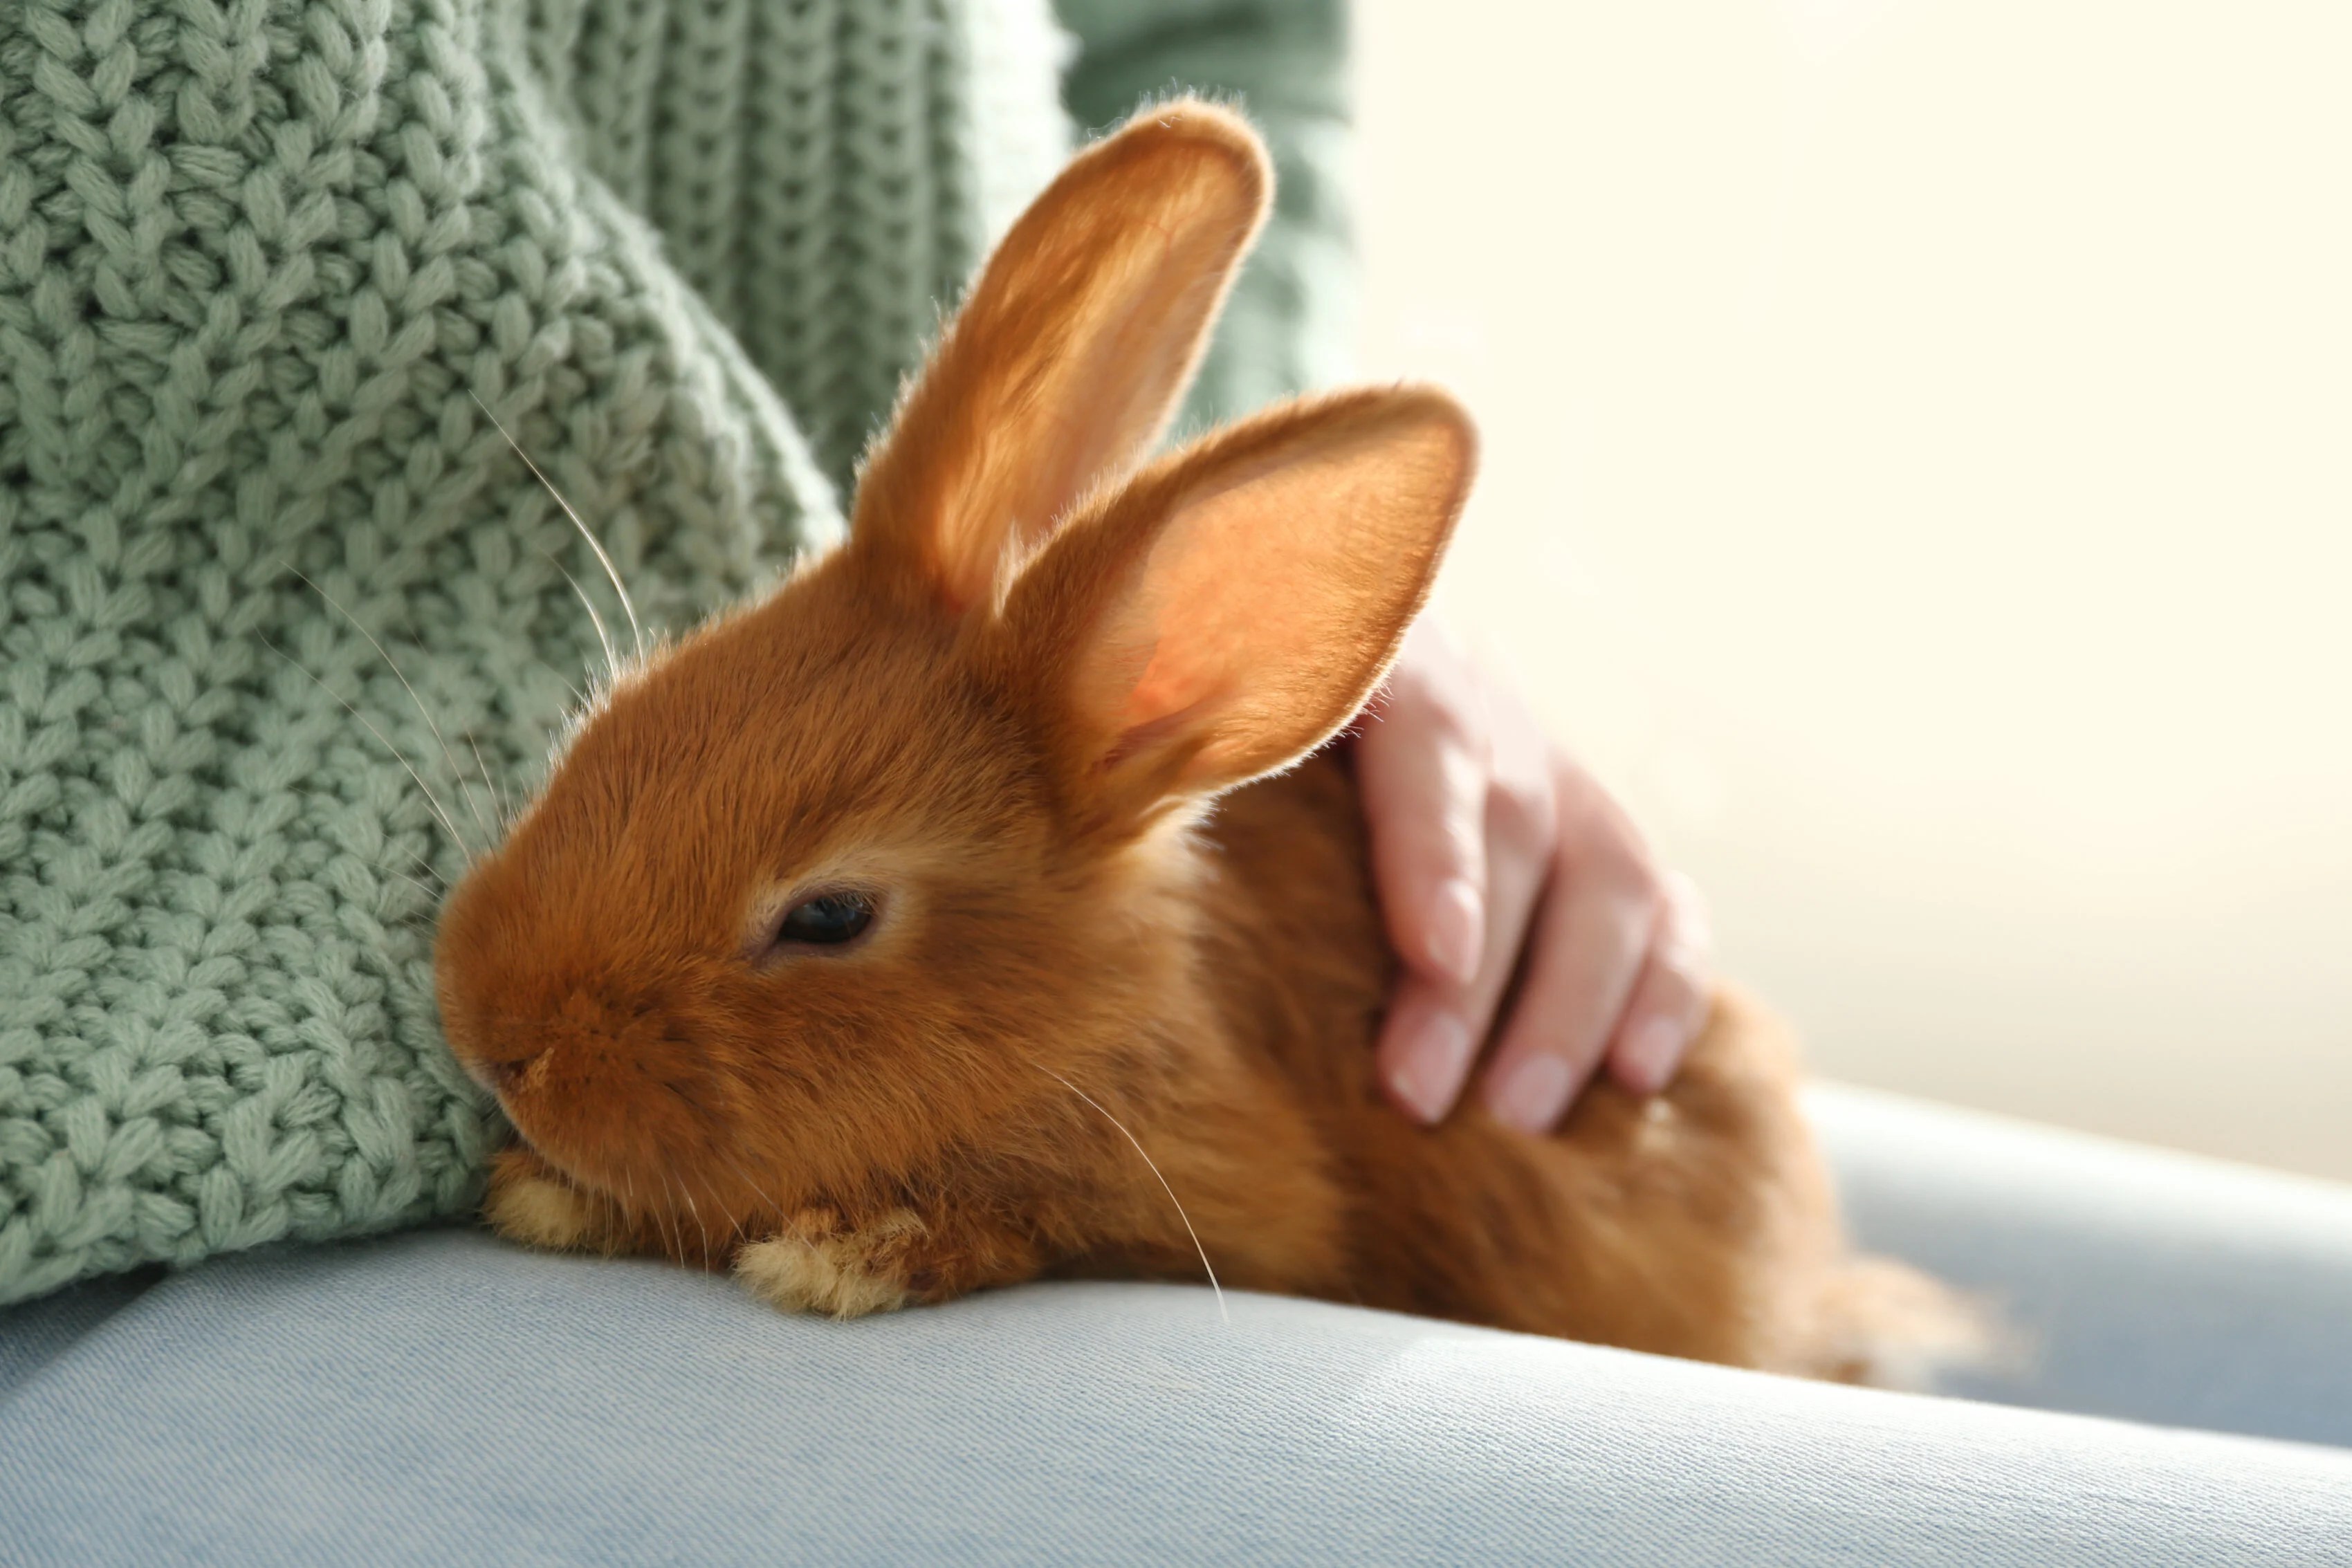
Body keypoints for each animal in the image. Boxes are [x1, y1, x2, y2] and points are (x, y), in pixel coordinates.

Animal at [434, 99, 1984, 1385]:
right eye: (616, 718)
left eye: (829, 915)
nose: (489, 1034)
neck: (1096, 1010)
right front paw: (548, 1188)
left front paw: (835, 1256)